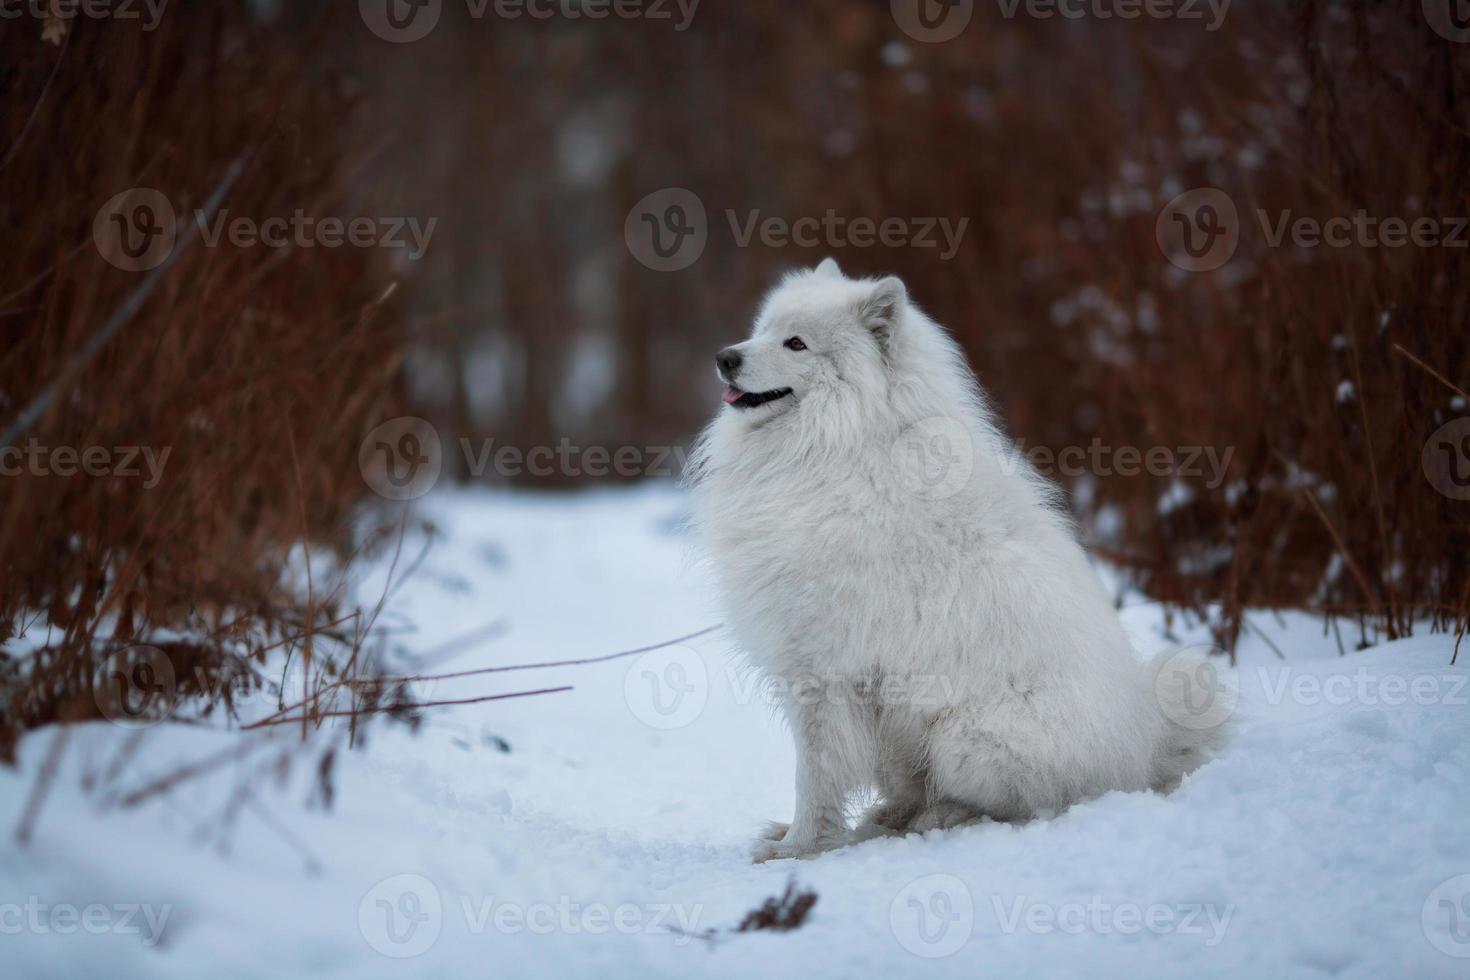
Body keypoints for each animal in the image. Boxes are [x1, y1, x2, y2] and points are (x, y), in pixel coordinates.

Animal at [687, 257, 1228, 863]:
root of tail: (1145, 749)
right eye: (760, 330)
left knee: (1026, 805)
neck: (840, 445)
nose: (725, 357)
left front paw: (797, 849)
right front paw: (795, 839)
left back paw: (939, 818)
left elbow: (816, 776)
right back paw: (891, 818)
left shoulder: (821, 673)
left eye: (796, 343)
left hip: (967, 738)